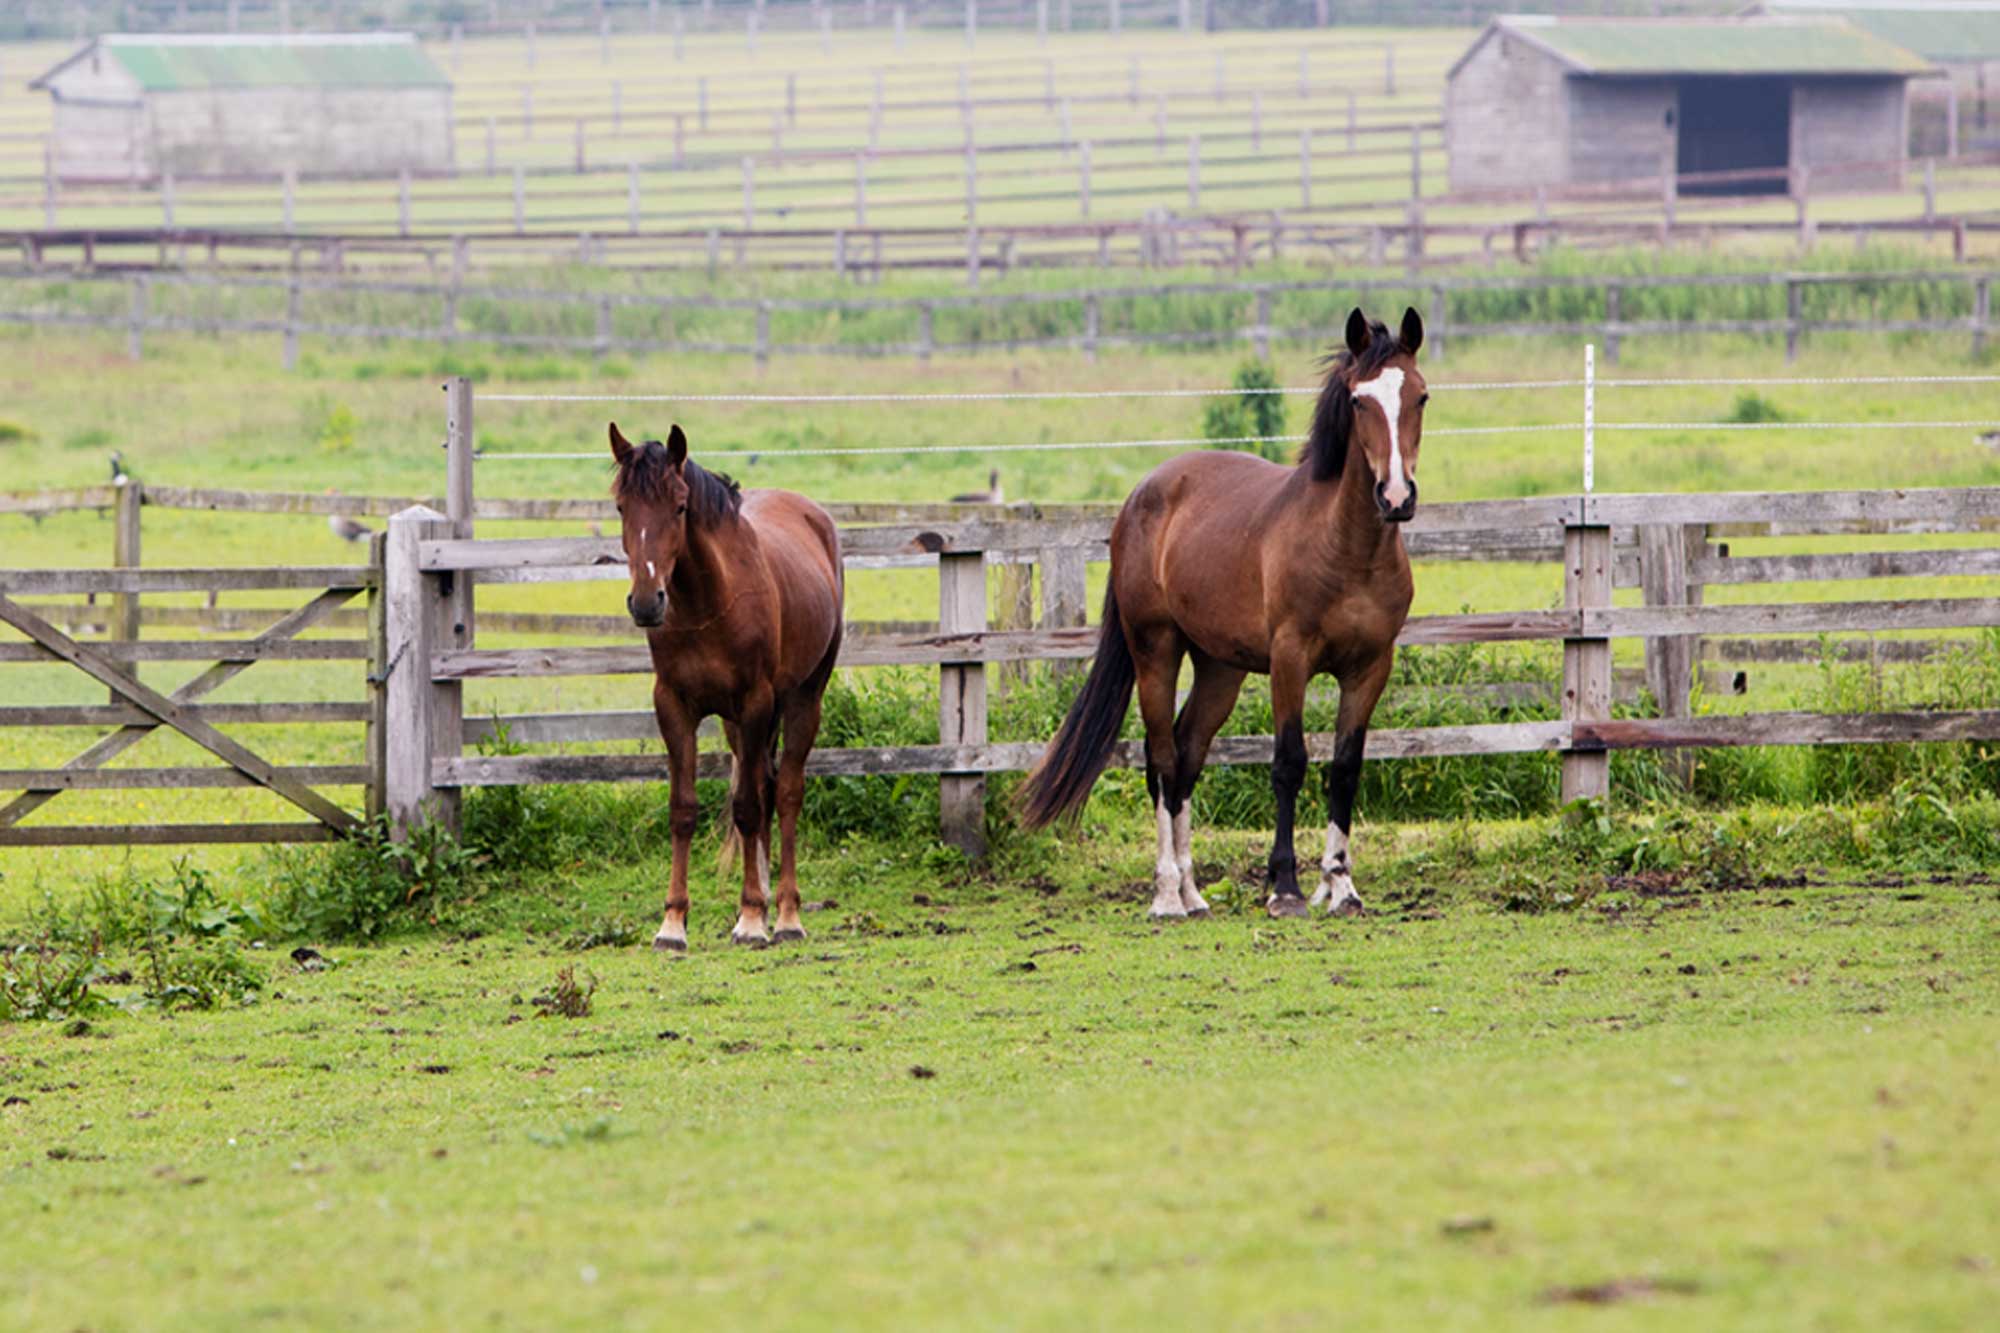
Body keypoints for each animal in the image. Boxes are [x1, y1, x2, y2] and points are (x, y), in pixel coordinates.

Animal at [608, 422, 844, 944]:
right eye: (620, 506)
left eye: (679, 505)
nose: (646, 602)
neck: (708, 603)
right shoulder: (674, 706)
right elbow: (684, 809)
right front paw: (673, 923)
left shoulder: (755, 703)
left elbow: (747, 808)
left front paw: (753, 918)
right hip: (741, 724)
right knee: (765, 787)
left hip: (802, 699)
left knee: (786, 793)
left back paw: (786, 915)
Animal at [1024, 306, 1432, 920]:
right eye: (1360, 400)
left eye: (1421, 396)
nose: (1396, 496)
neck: (1347, 549)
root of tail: (1140, 496)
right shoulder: (1290, 660)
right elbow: (1289, 763)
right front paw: (1284, 887)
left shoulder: (1369, 668)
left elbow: (1344, 769)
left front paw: (1340, 886)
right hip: (1156, 650)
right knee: (1163, 760)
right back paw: (1167, 893)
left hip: (1220, 668)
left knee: (1188, 755)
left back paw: (1195, 894)